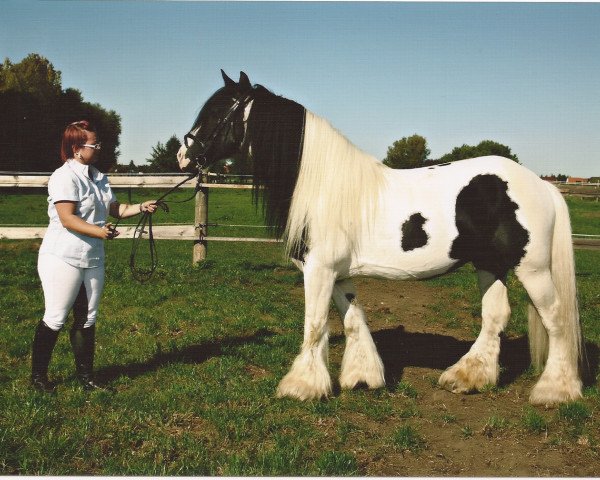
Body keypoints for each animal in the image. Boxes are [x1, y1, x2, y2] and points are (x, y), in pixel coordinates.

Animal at [177, 71, 580, 406]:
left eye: (216, 114)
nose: (183, 154)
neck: (322, 186)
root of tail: (541, 185)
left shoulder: (319, 270)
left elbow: (315, 325)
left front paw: (301, 386)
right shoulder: (338, 273)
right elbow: (353, 319)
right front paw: (363, 377)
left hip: (532, 268)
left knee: (556, 318)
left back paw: (555, 391)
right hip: (489, 265)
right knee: (495, 316)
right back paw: (467, 378)